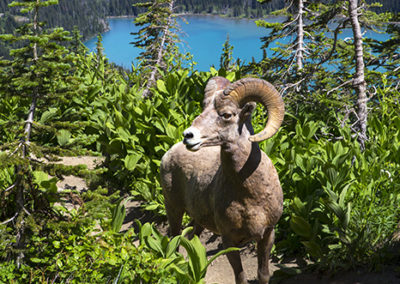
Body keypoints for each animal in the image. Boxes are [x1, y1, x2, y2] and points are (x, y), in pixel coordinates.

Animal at [159, 76, 284, 282]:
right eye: (203, 109)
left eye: (226, 115)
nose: (188, 136)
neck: (249, 195)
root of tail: (168, 153)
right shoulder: (228, 241)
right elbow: (240, 278)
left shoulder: (267, 235)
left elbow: (263, 274)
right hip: (173, 209)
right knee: (174, 241)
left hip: (198, 221)